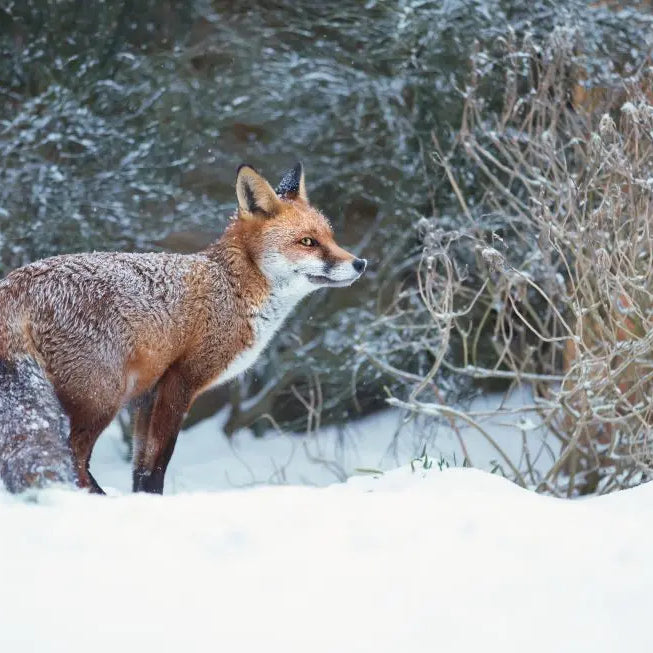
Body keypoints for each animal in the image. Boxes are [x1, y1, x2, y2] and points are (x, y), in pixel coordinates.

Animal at [0, 164, 366, 494]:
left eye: (330, 237)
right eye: (308, 242)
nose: (360, 263)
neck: (232, 289)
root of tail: (16, 282)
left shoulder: (147, 396)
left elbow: (140, 471)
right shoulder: (179, 383)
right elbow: (156, 467)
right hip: (100, 400)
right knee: (73, 459)